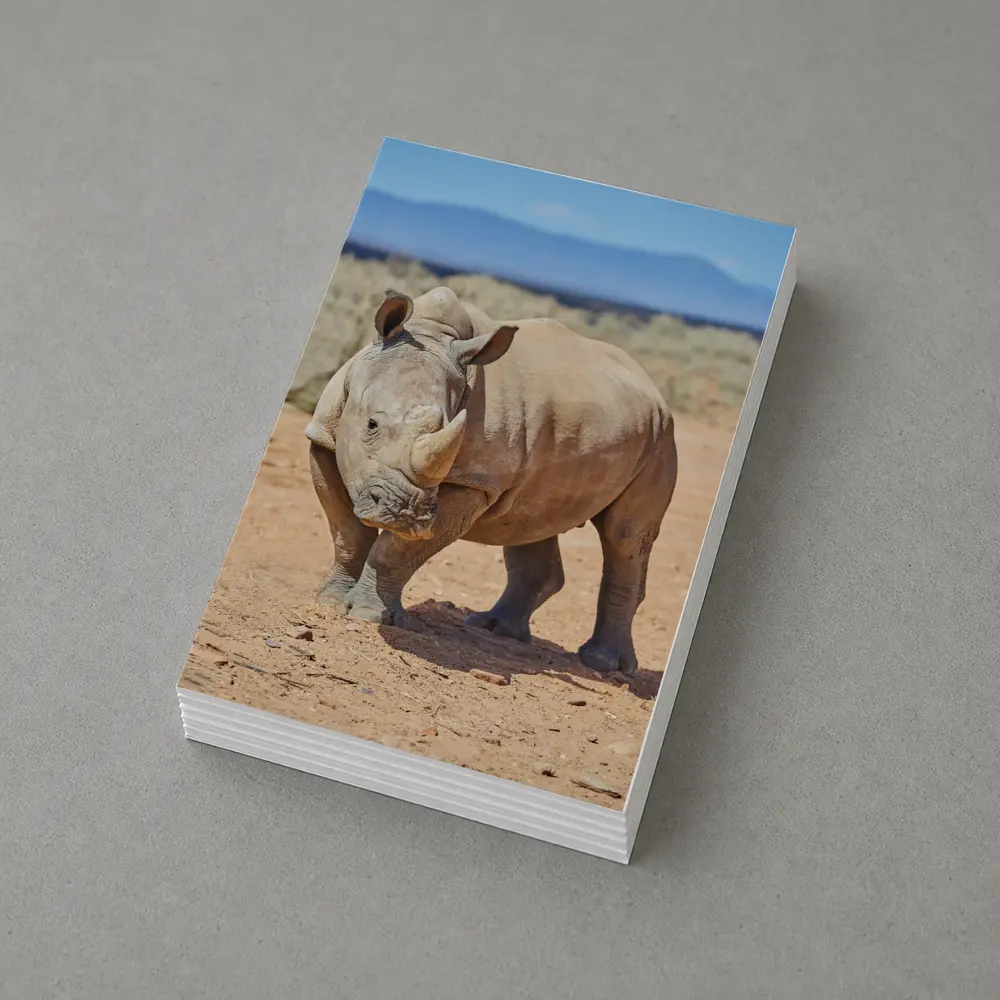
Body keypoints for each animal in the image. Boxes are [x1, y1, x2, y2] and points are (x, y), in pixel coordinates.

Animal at [304, 286, 677, 675]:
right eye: (371, 425)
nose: (405, 515)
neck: (428, 331)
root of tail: (656, 393)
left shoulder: (474, 481)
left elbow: (395, 551)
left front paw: (368, 615)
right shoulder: (324, 437)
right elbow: (349, 534)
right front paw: (330, 601)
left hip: (662, 437)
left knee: (625, 537)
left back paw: (603, 664)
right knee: (530, 519)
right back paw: (494, 629)